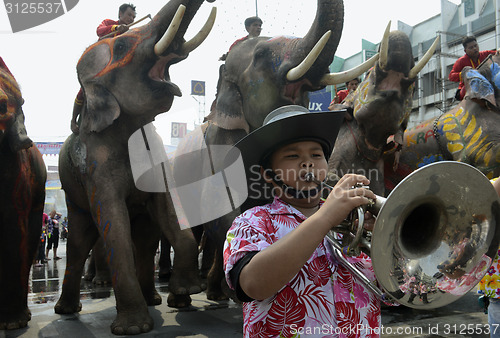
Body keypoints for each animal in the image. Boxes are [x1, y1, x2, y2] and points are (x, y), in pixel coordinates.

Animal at [53, 0, 216, 332]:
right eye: (123, 46)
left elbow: (167, 207)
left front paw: (188, 290)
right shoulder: (95, 163)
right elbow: (114, 224)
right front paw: (134, 329)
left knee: (144, 238)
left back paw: (153, 298)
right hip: (72, 196)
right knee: (78, 241)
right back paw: (66, 310)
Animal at [172, 0, 378, 302]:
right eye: (260, 55)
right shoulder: (220, 148)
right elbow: (223, 211)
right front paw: (237, 292)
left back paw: (215, 294)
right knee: (198, 226)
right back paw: (193, 295)